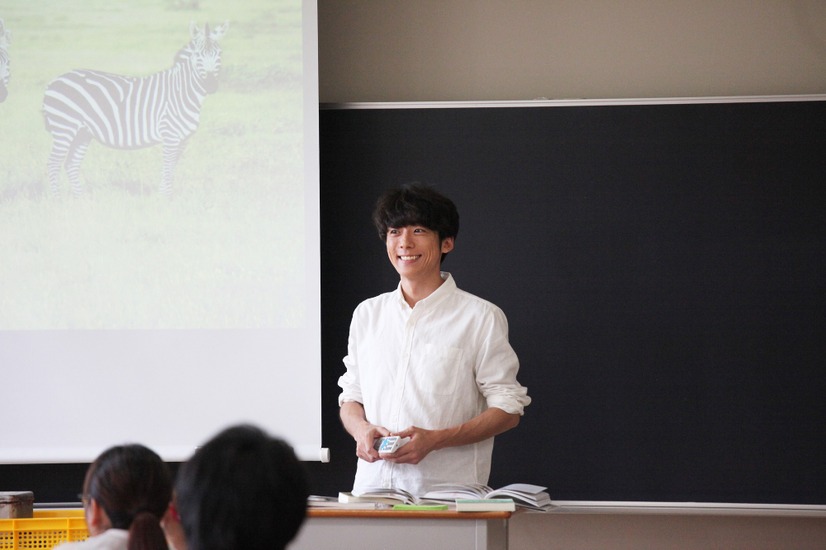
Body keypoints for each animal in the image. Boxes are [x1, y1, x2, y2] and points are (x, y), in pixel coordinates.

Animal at [42, 22, 229, 198]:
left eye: (219, 54)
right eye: (197, 55)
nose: (211, 85)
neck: (182, 91)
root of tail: (54, 81)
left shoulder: (183, 139)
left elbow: (172, 168)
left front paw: (164, 196)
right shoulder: (170, 135)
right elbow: (168, 167)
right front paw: (165, 199)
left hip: (83, 133)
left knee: (71, 163)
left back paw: (80, 200)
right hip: (64, 127)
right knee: (53, 164)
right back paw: (58, 200)